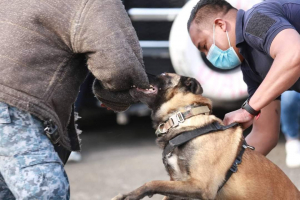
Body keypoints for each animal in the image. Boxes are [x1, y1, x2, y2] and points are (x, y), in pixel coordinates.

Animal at [111, 73, 298, 200]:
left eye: (163, 75)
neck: (182, 118)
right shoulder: (178, 183)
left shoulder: (200, 185)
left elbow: (153, 182)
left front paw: (130, 195)